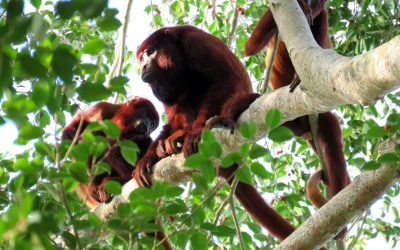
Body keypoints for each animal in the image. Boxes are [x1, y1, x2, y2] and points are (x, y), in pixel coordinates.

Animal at [134, 24, 296, 240]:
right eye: (141, 57)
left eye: (150, 52)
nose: (143, 66)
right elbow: (174, 113)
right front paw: (148, 158)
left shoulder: (195, 43)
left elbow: (223, 80)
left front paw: (196, 134)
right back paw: (169, 144)